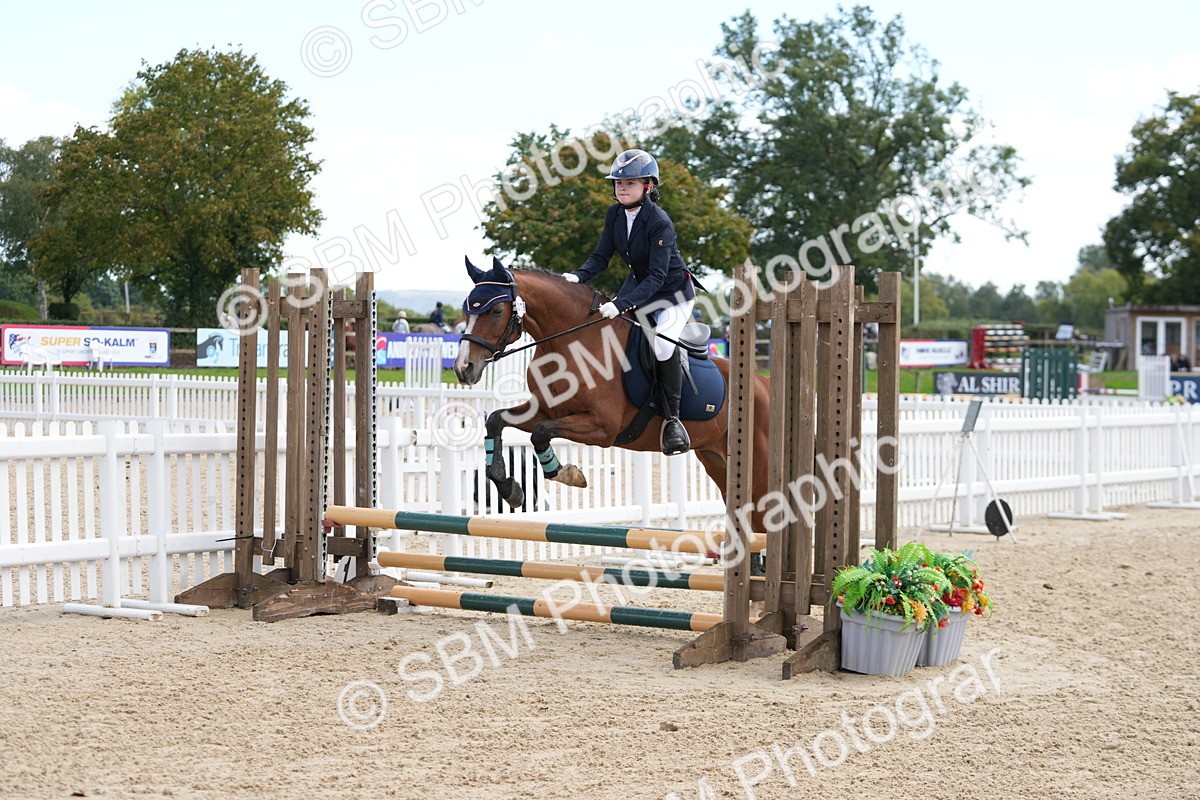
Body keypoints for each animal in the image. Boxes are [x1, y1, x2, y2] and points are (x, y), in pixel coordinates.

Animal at [453, 256, 773, 535]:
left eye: (496, 311)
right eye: (466, 311)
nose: (463, 369)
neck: (572, 342)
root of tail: (763, 384)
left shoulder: (602, 427)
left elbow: (541, 433)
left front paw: (567, 473)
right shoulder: (546, 410)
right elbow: (496, 420)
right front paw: (510, 489)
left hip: (757, 469)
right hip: (717, 461)